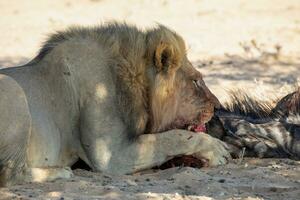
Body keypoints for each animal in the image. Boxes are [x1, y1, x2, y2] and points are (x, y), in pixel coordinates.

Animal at [0, 22, 230, 187]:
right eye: (196, 80)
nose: (218, 106)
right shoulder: (109, 154)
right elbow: (172, 138)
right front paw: (217, 149)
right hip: (13, 89)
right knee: (9, 174)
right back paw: (60, 172)